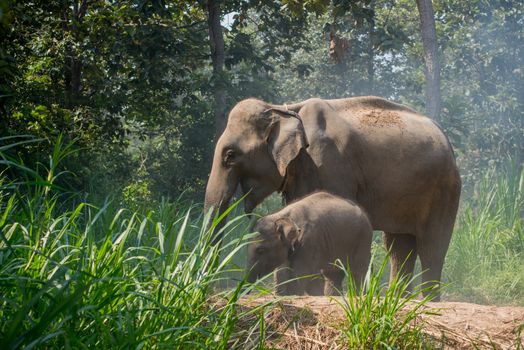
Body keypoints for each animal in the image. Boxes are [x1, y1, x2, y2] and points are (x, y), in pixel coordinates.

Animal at [203, 96, 460, 300]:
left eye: (230, 155)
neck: (284, 109)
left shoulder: (328, 162)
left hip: (444, 189)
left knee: (432, 246)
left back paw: (427, 301)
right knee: (399, 246)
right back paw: (399, 299)